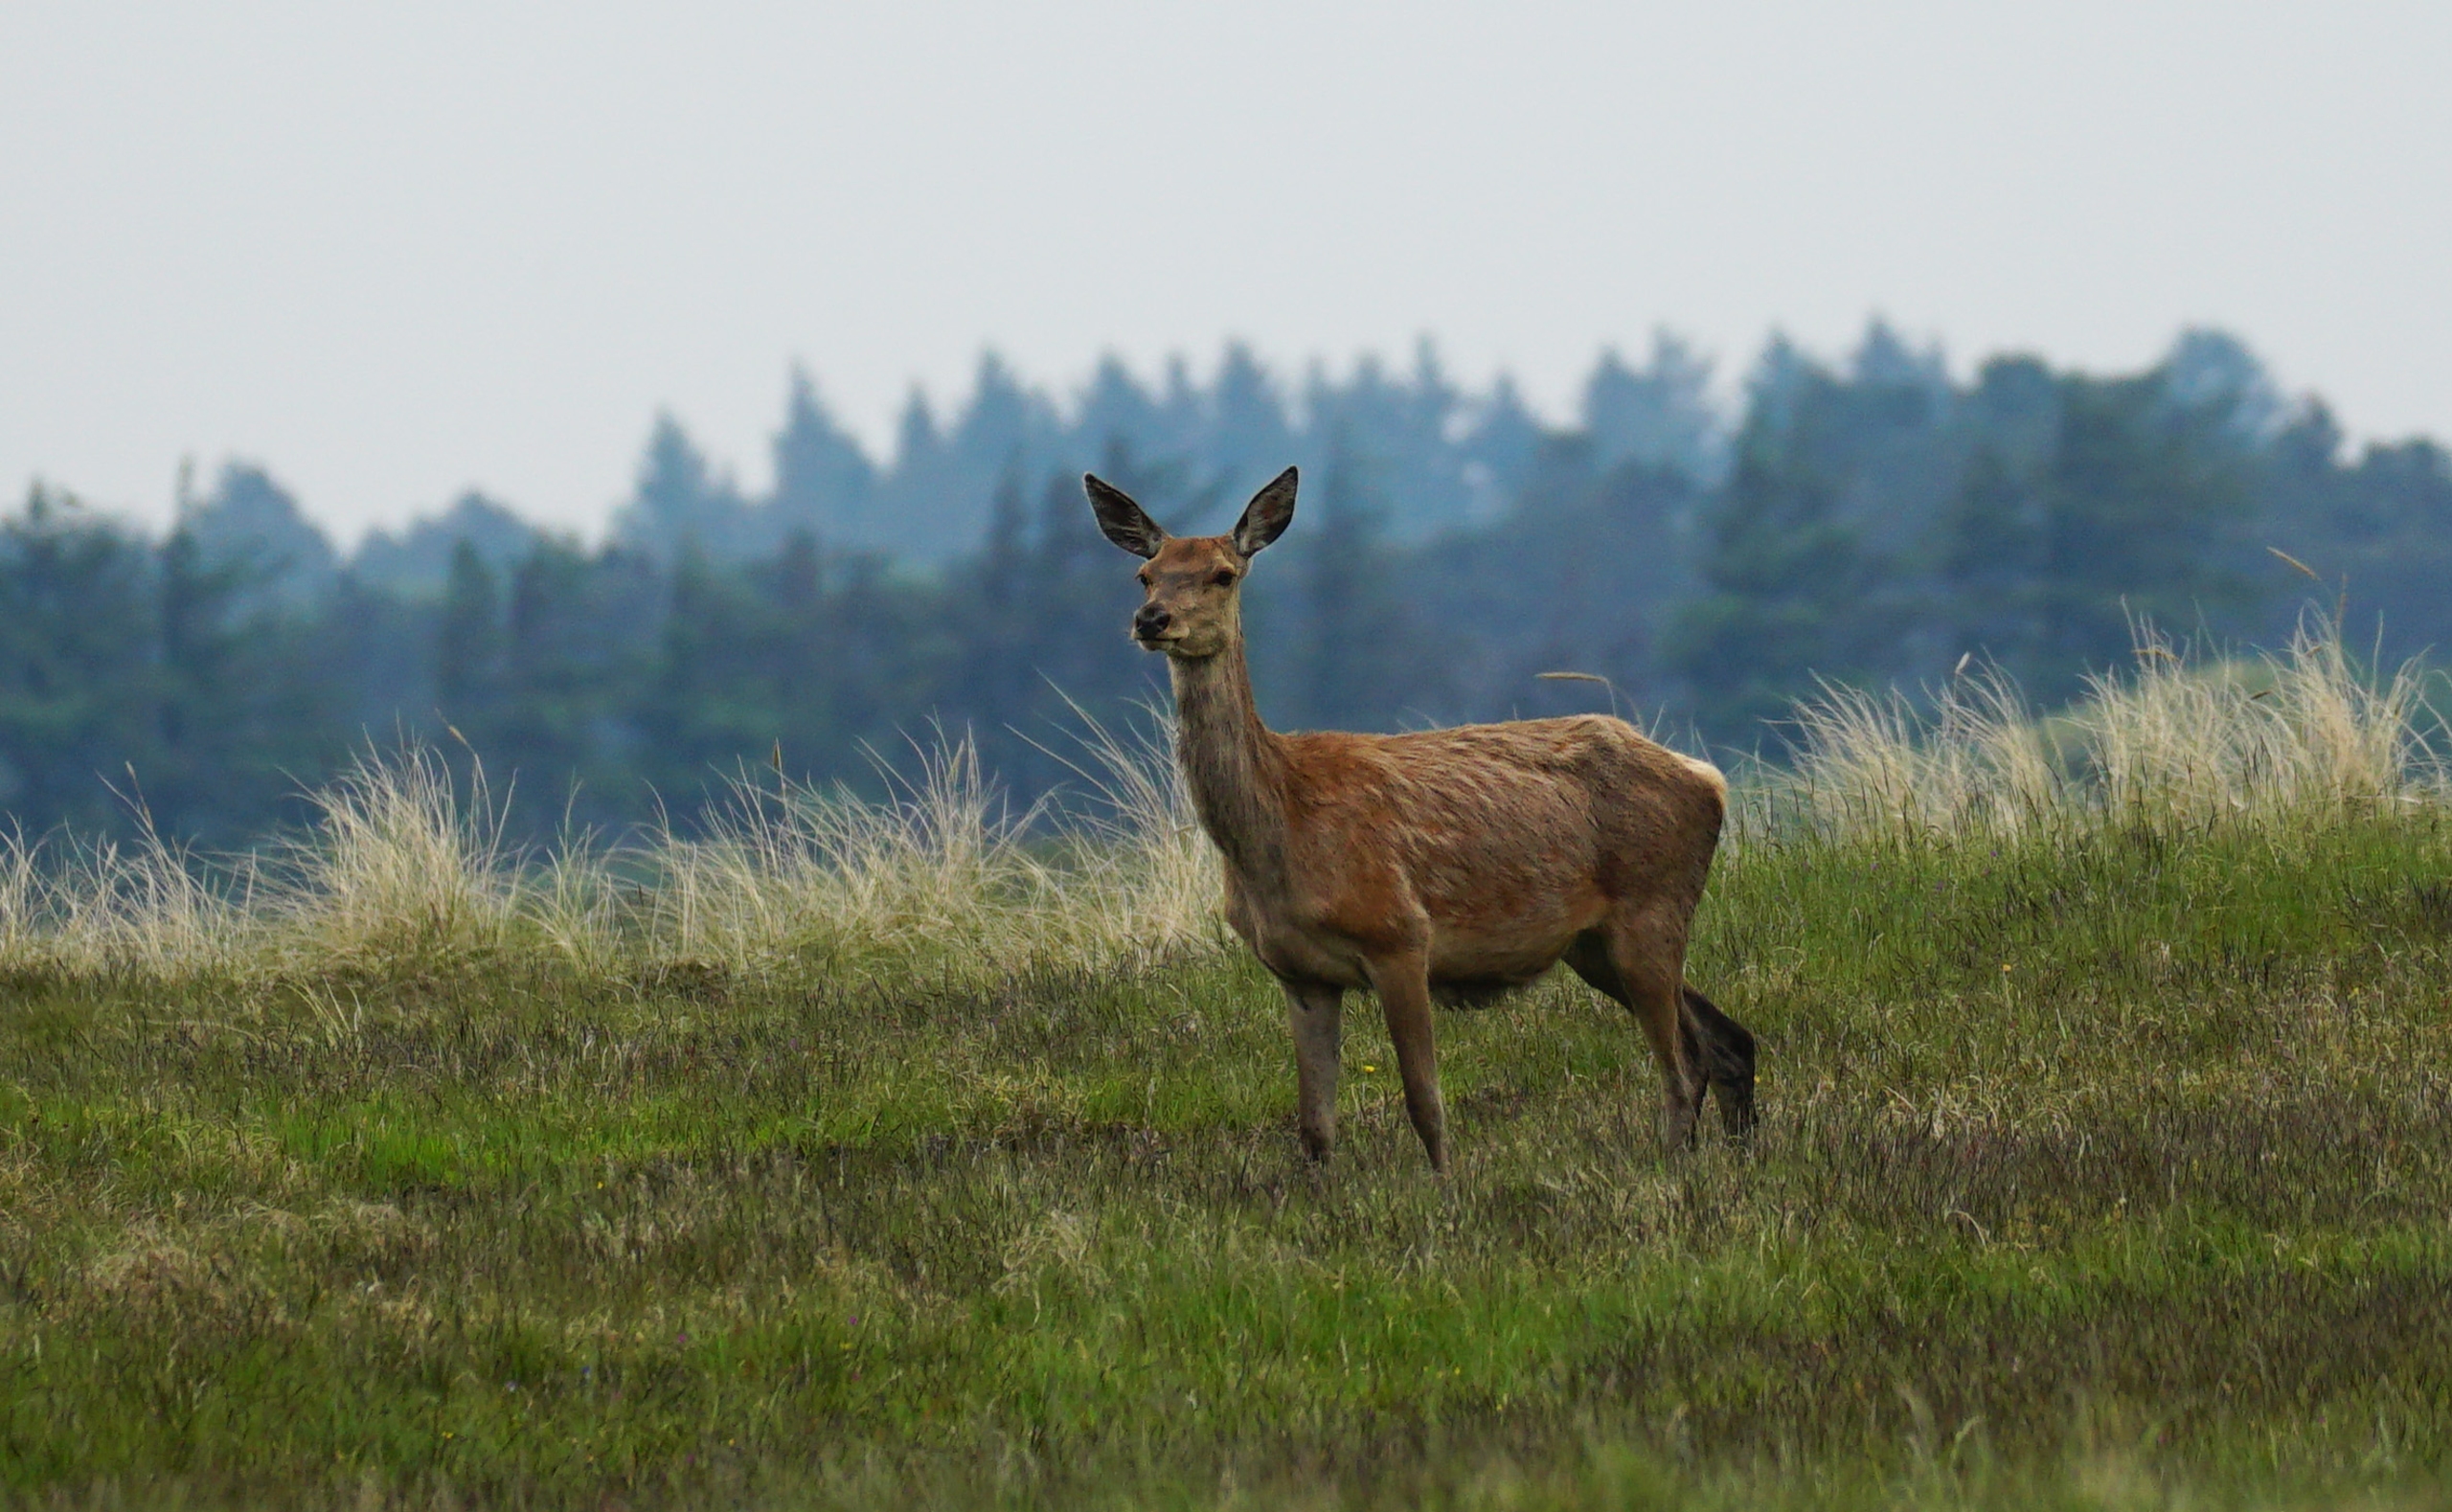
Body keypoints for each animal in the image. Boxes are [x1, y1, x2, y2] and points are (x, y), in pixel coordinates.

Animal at [1087, 465, 1756, 1173]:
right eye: (1146, 574)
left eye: (1222, 574)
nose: (1151, 619)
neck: (1283, 827)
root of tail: (1708, 778)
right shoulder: (1299, 974)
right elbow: (1314, 1125)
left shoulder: (1400, 936)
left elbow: (1425, 1101)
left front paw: (1448, 1189)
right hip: (1594, 944)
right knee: (1726, 1040)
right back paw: (1738, 1154)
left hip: (1649, 909)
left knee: (1681, 1067)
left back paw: (1676, 1167)